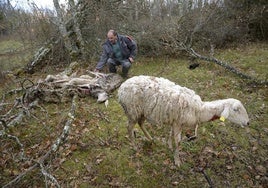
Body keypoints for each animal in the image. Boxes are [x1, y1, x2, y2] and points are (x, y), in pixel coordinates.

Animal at [118, 75, 250, 166]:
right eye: (236, 109)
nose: (248, 123)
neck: (199, 110)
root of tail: (121, 88)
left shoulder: (175, 121)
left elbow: (171, 134)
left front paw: (169, 146)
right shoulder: (178, 122)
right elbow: (178, 142)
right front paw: (177, 160)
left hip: (141, 111)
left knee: (141, 123)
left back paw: (150, 139)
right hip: (132, 111)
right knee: (129, 128)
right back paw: (135, 146)